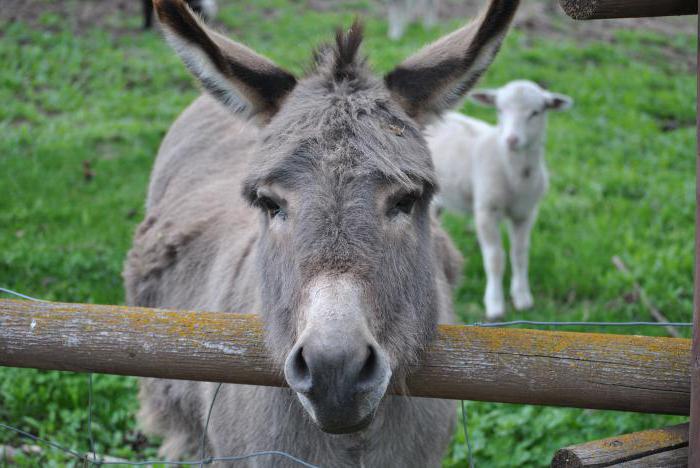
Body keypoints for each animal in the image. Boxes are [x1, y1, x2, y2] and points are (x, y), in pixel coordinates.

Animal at [426, 81, 576, 322]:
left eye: (536, 112)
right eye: (499, 110)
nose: (512, 139)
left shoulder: (526, 213)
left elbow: (520, 253)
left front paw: (522, 297)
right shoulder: (486, 210)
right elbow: (495, 258)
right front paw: (495, 305)